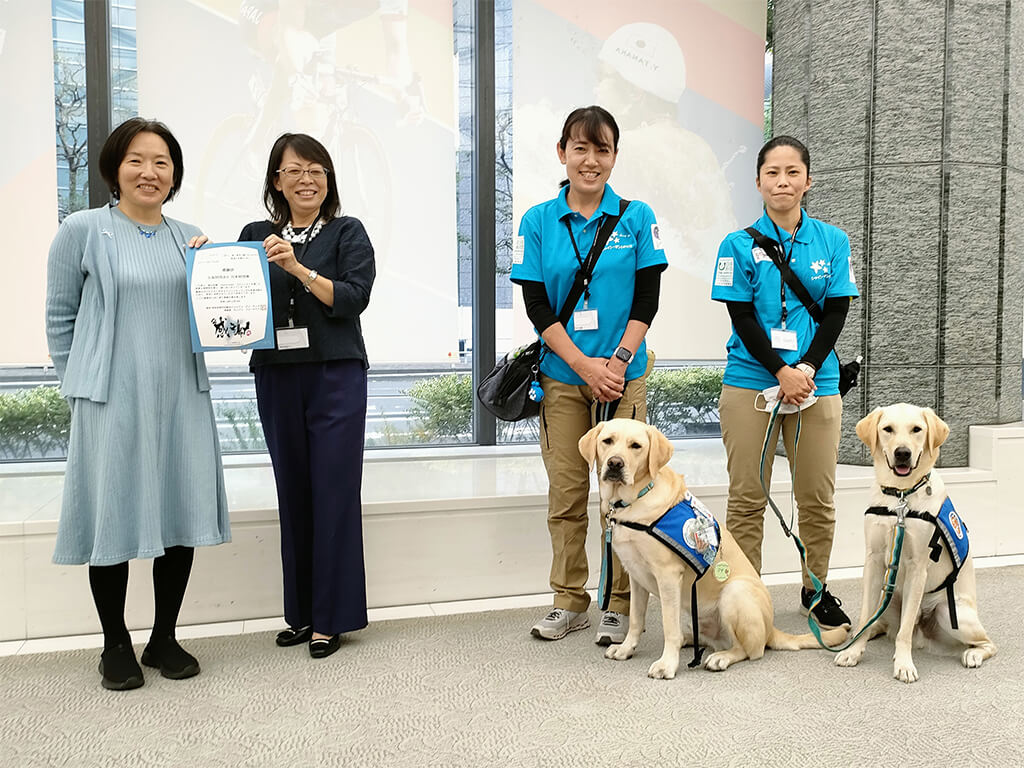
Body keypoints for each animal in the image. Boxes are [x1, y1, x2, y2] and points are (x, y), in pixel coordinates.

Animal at [577, 421, 847, 679]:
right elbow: (635, 618)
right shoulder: (636, 575)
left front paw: (666, 665)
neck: (634, 501)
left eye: (636, 446)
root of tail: (771, 628)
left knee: (750, 650)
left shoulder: (668, 576)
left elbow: (668, 626)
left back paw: (721, 658)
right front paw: (626, 649)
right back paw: (690, 641)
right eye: (607, 441)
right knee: (702, 638)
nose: (615, 463)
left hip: (734, 592)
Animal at [835, 405, 995, 684]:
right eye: (888, 429)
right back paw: (868, 631)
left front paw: (904, 665)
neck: (900, 497)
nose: (902, 453)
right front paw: (853, 651)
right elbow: (865, 616)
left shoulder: (917, 567)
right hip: (886, 595)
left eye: (917, 430)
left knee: (987, 643)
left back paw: (973, 654)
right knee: (879, 621)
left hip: (950, 611)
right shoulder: (873, 560)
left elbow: (905, 629)